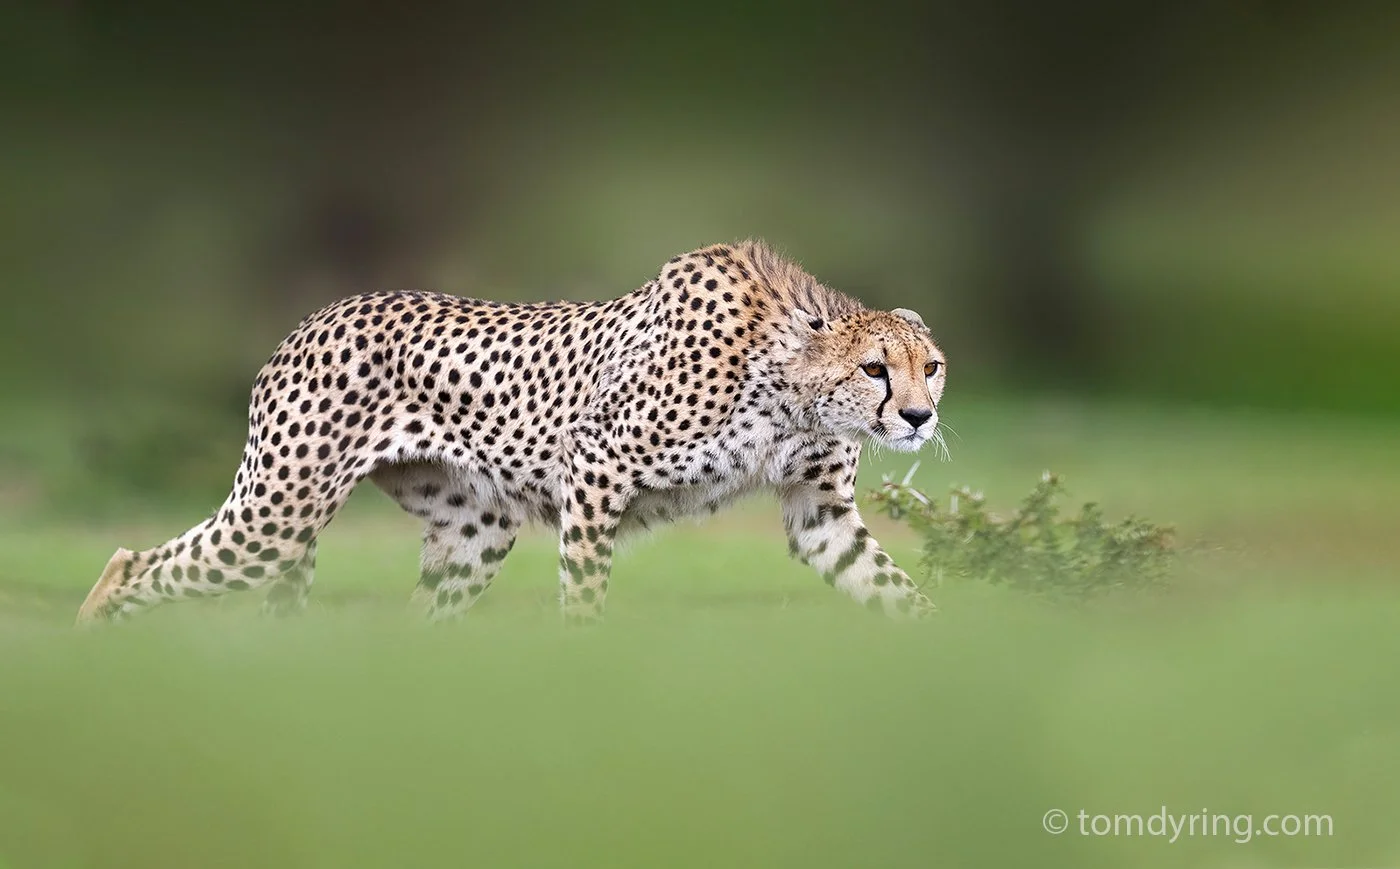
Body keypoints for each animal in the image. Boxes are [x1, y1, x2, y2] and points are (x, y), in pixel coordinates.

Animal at [76, 239, 948, 626]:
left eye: (931, 366)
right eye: (876, 368)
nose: (919, 416)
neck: (792, 381)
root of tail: (315, 316)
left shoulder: (818, 512)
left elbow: (894, 588)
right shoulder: (596, 466)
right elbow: (585, 592)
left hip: (474, 529)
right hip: (276, 515)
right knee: (133, 562)